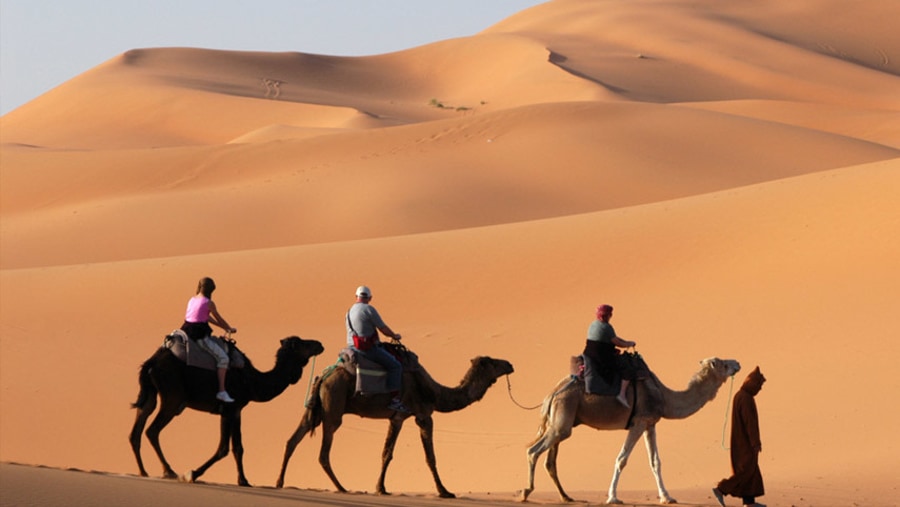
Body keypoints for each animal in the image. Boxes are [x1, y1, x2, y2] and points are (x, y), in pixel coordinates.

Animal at [126, 336, 324, 486]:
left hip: (151, 394)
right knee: (152, 430)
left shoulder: (236, 411)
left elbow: (238, 447)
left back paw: (143, 471)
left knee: (137, 430)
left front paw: (243, 480)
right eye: (303, 343)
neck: (253, 382)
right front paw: (192, 474)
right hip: (173, 398)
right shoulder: (229, 409)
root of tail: (152, 362)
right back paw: (169, 471)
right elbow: (223, 448)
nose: (319, 344)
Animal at [274, 352, 512, 498]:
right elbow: (430, 457)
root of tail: (323, 376)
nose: (510, 364)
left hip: (315, 409)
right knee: (323, 453)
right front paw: (444, 491)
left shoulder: (397, 417)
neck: (435, 393)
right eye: (492, 361)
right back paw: (342, 488)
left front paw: (381, 488)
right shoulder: (423, 415)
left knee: (292, 440)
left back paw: (279, 482)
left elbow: (386, 453)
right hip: (333, 409)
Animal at [516, 358, 740, 504]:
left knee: (550, 460)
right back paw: (525, 492)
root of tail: (551, 395)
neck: (664, 396)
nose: (738, 363)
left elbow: (655, 461)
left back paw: (566, 497)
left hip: (563, 421)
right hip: (563, 416)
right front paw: (612, 497)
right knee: (532, 451)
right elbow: (622, 459)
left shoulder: (650, 423)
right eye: (723, 363)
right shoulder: (638, 422)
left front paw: (667, 497)